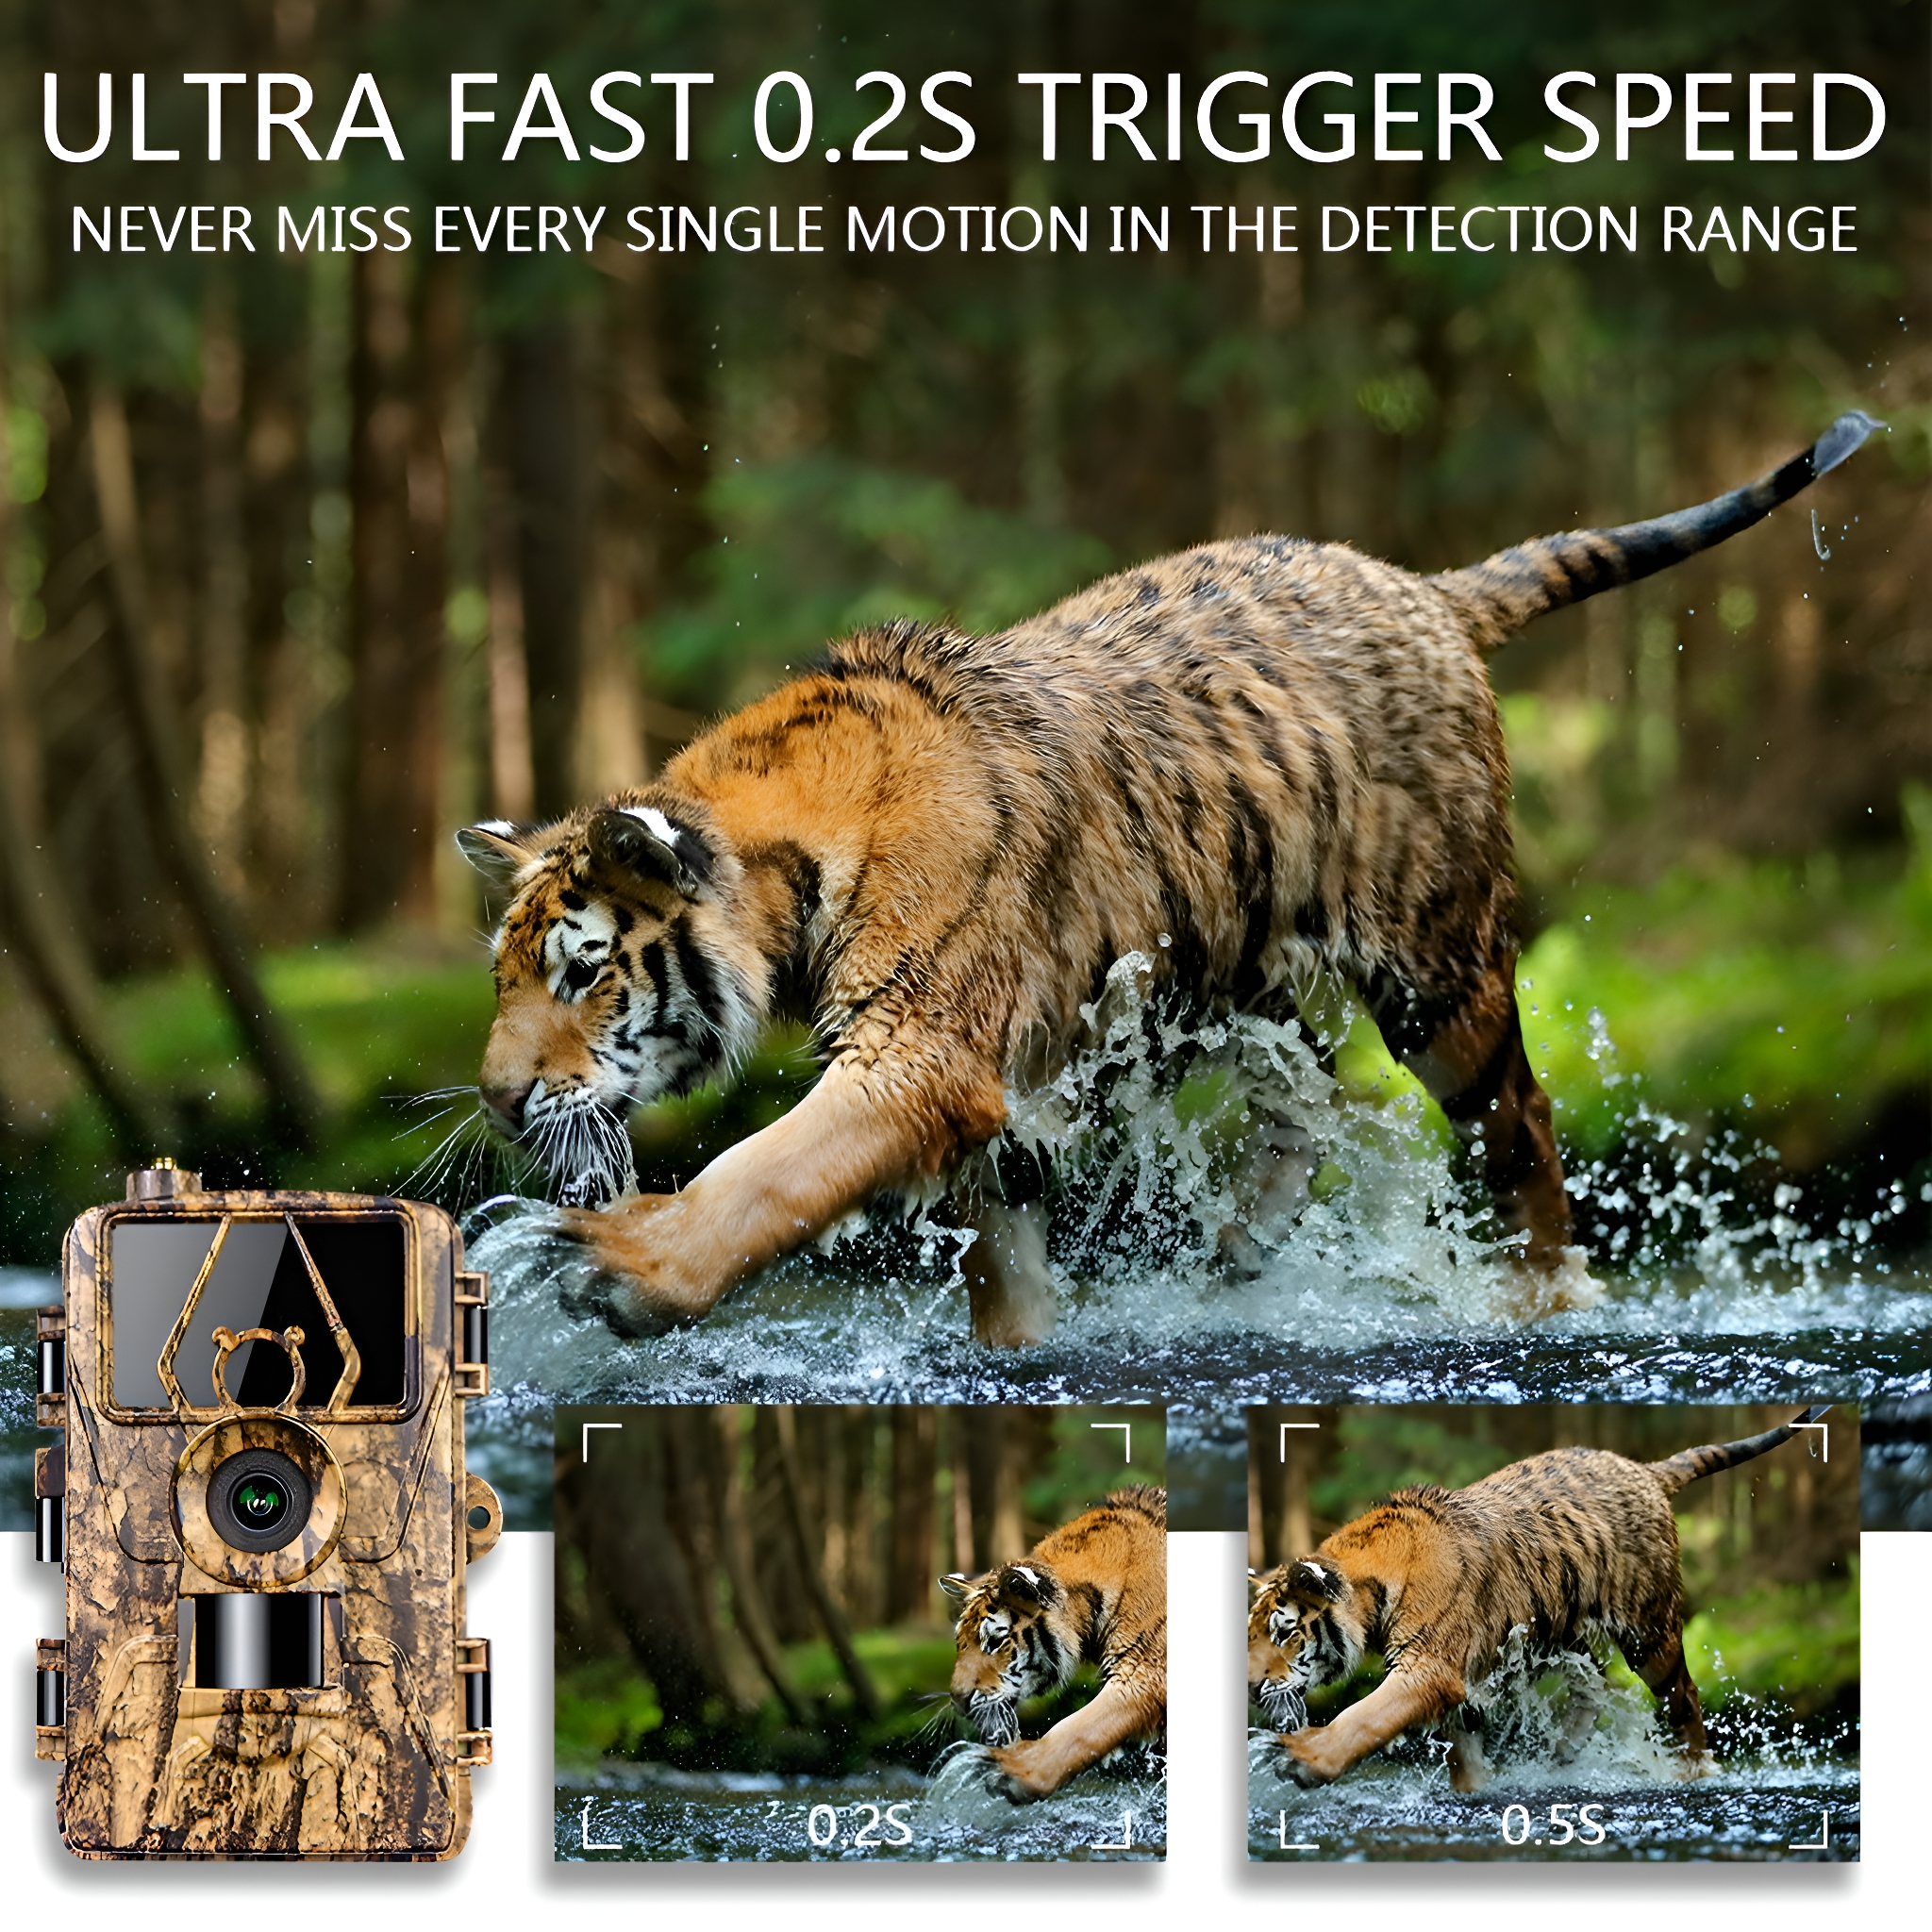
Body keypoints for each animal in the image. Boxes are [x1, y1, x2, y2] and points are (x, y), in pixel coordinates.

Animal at [457, 412, 1881, 1346]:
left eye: (584, 974)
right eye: (505, 978)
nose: (496, 1100)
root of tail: (1423, 586)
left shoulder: (918, 1053)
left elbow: (766, 1172)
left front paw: (612, 1263)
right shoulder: (999, 1096)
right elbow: (1004, 1256)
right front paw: (1022, 1351)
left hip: (1437, 971)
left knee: (1517, 1122)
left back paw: (1541, 1302)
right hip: (1222, 966)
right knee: (1308, 1094)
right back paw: (1247, 1242)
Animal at [940, 1483, 1166, 1802]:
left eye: (995, 1642)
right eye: (960, 1643)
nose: (958, 1701)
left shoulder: (1146, 1671)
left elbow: (1081, 1728)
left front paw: (1012, 1769)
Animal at [1247, 1405, 1831, 1792]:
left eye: (1284, 1631)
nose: (1250, 1688)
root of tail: (1644, 1469)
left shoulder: (1428, 1668)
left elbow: (1363, 1716)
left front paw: (1302, 1758)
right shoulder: (1463, 1681)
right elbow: (1463, 1750)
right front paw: (1474, 1793)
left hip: (1649, 1632)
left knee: (1682, 1697)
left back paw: (1693, 1774)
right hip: (1557, 1628)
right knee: (1594, 1681)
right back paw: (1566, 1751)